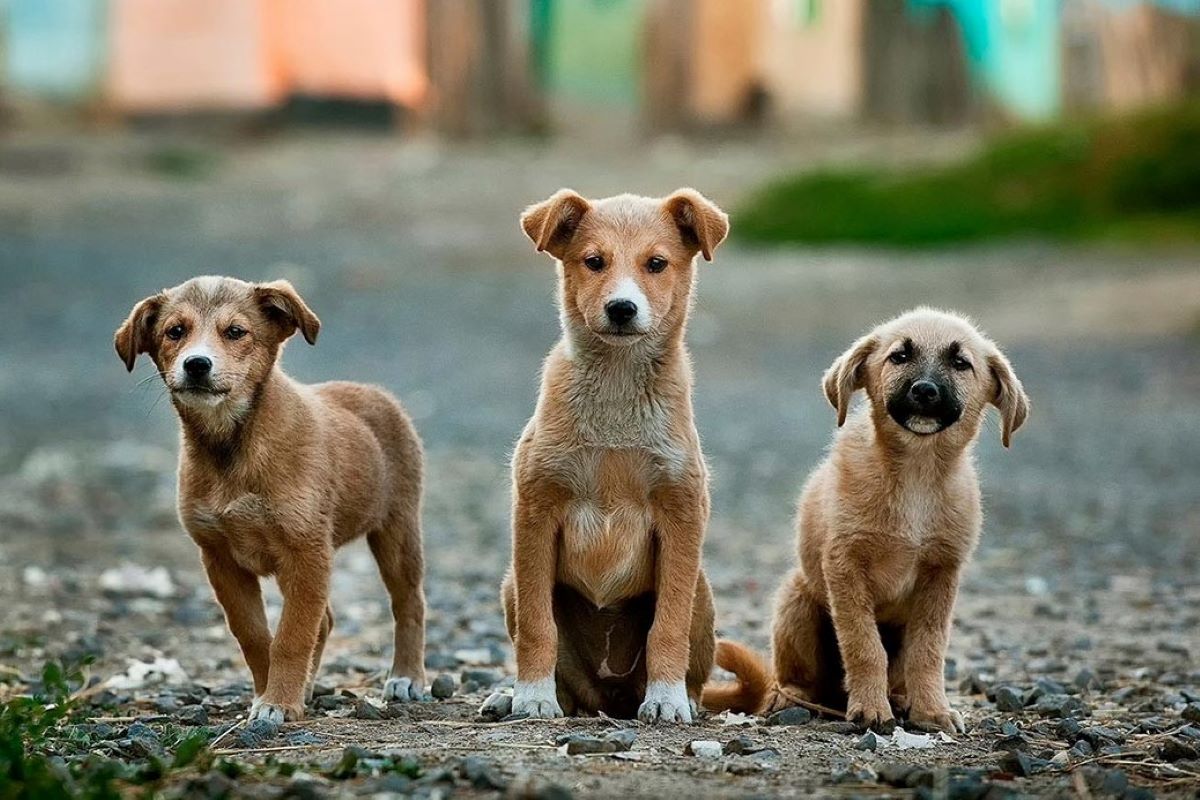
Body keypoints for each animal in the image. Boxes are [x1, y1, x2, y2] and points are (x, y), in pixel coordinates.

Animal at [113, 278, 432, 724]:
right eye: (175, 331)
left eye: (236, 332)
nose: (197, 365)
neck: (232, 446)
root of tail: (374, 392)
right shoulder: (220, 558)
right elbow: (254, 635)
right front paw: (271, 694)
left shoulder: (306, 551)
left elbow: (291, 636)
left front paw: (278, 701)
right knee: (326, 620)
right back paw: (309, 687)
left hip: (397, 530)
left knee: (409, 603)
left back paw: (406, 677)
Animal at [494, 189, 724, 724]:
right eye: (593, 261)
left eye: (656, 264)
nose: (621, 308)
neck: (617, 394)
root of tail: (610, 698)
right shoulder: (535, 512)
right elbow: (538, 625)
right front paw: (531, 696)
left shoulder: (682, 514)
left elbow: (668, 625)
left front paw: (666, 699)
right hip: (511, 583)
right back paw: (515, 696)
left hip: (703, 591)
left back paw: (683, 698)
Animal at [700, 309, 1032, 734]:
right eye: (899, 356)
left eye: (961, 363)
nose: (925, 391)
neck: (916, 473)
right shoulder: (845, 565)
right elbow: (863, 645)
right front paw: (871, 709)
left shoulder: (941, 573)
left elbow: (928, 650)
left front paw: (931, 710)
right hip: (796, 600)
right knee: (797, 678)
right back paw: (793, 698)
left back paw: (901, 699)